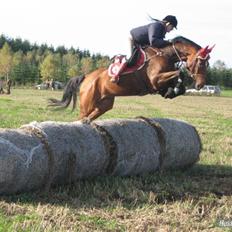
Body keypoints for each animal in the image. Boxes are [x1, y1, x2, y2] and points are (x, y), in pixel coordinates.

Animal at [49, 35, 214, 121]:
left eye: (208, 63)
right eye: (201, 62)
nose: (200, 85)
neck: (166, 55)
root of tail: (87, 77)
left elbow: (178, 84)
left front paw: (172, 91)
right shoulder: (155, 79)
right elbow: (179, 73)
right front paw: (174, 89)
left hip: (105, 103)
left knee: (89, 117)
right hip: (87, 102)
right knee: (81, 117)